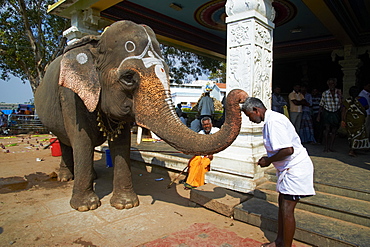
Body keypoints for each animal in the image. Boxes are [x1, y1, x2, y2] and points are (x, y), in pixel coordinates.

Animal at [34, 19, 249, 212]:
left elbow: (121, 142)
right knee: (65, 140)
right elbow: (82, 140)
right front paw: (85, 207)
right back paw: (65, 177)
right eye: (128, 77)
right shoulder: (70, 96)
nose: (242, 97)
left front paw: (126, 204)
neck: (96, 42)